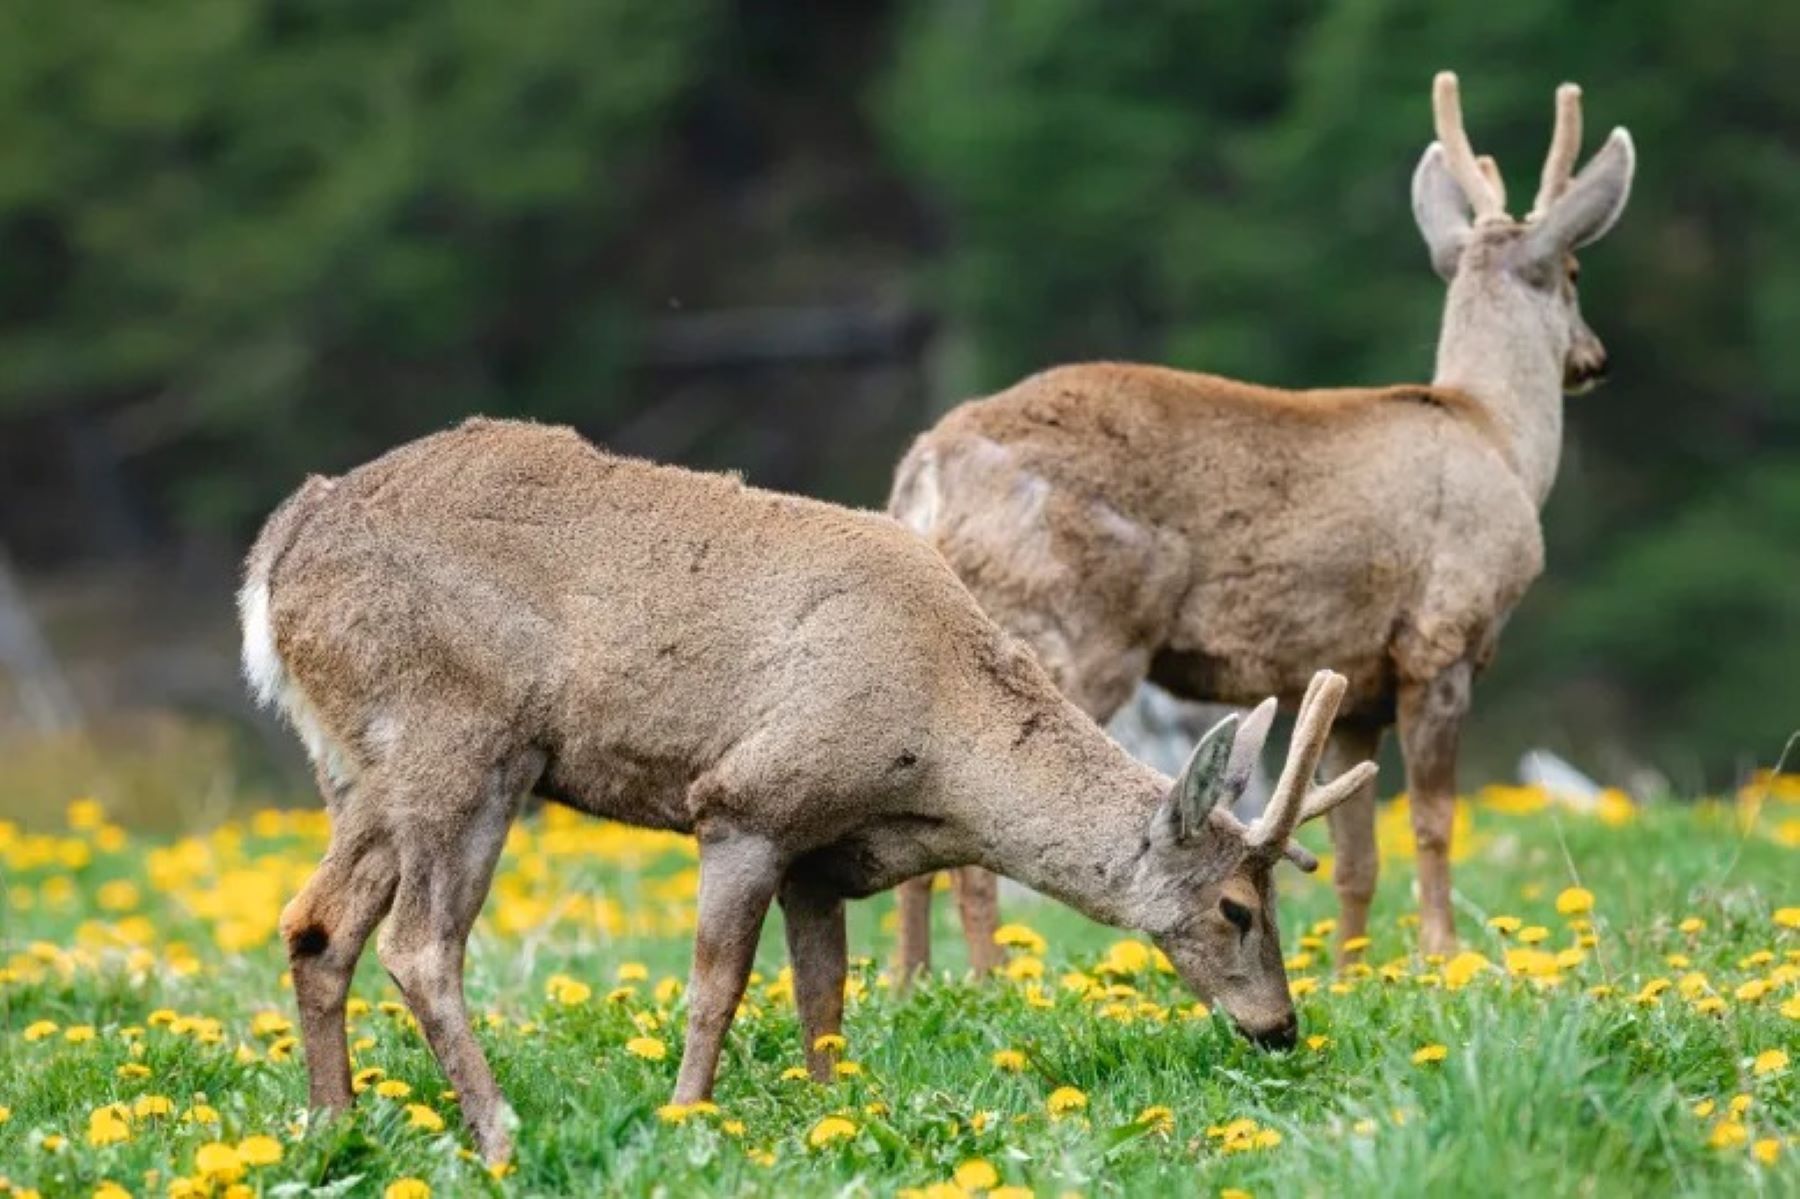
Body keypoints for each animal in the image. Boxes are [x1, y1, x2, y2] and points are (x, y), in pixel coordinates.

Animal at [232, 417, 1368, 1159]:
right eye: (1236, 906)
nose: (1280, 1025)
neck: (934, 742)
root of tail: (274, 556)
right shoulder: (747, 801)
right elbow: (717, 985)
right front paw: (690, 1119)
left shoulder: (822, 855)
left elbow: (826, 998)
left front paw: (835, 1116)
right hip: (459, 737)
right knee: (420, 944)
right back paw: (499, 1131)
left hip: (359, 767)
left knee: (314, 922)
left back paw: (332, 1127)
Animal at [892, 70, 1641, 964]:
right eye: (1575, 270)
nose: (1594, 359)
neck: (1496, 435)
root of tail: (926, 468)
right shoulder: (1441, 637)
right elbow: (1433, 820)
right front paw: (1442, 950)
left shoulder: (1355, 684)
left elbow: (1358, 855)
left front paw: (1354, 966)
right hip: (1066, 624)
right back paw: (988, 975)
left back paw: (913, 979)